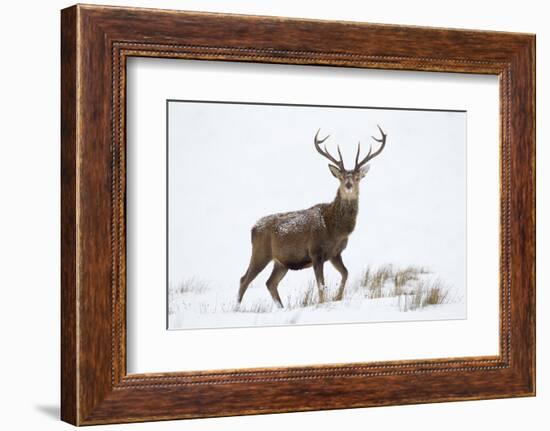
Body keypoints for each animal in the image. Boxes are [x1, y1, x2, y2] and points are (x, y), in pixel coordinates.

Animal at [237, 126, 388, 308]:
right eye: (341, 177)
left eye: (358, 178)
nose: (348, 185)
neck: (334, 229)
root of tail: (252, 228)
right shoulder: (316, 252)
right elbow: (321, 285)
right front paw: (322, 303)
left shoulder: (335, 253)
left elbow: (345, 273)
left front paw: (337, 297)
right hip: (260, 252)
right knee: (244, 279)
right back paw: (236, 307)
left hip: (281, 262)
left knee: (270, 283)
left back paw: (281, 308)